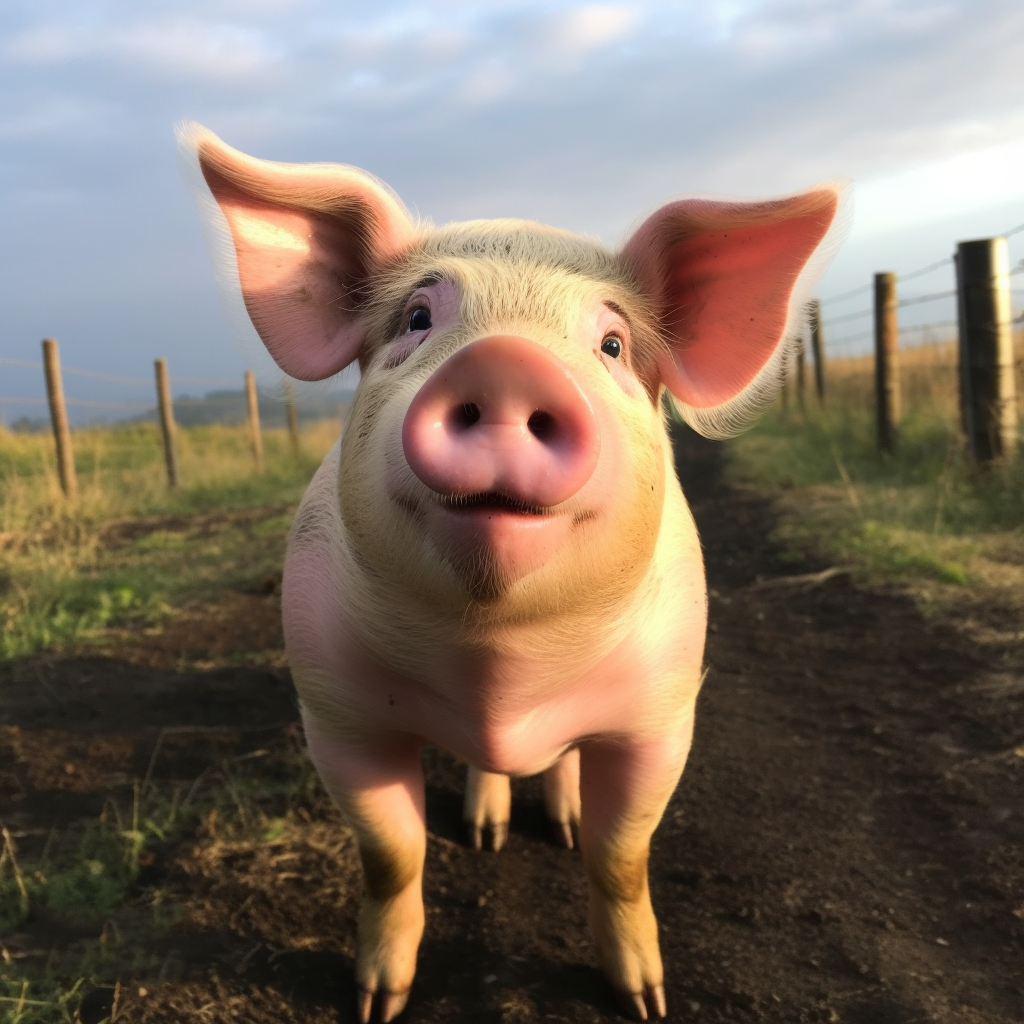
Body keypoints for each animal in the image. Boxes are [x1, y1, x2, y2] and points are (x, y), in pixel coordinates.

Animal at [179, 122, 845, 1022]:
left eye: (612, 343)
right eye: (417, 317)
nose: (504, 363)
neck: (500, 669)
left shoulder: (664, 715)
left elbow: (619, 856)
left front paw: (644, 1000)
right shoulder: (336, 710)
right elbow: (391, 852)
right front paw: (377, 1001)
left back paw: (554, 819)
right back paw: (486, 829)